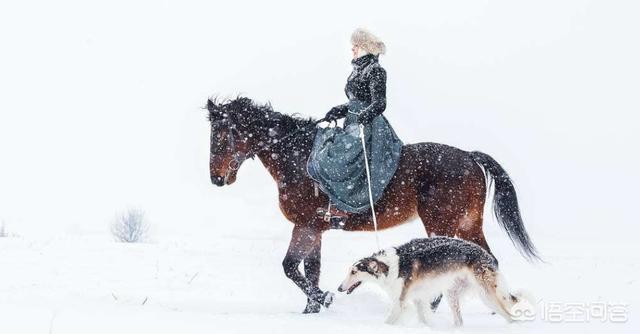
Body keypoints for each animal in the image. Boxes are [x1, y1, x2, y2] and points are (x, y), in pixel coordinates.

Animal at [208, 96, 536, 314]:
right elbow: (307, 269)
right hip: (469, 224)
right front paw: (312, 310)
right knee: (487, 259)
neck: (299, 160)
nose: (217, 178)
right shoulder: (314, 228)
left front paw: (323, 299)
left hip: (442, 225)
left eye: (222, 137)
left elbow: (292, 268)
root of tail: (469, 156)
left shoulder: (307, 225)